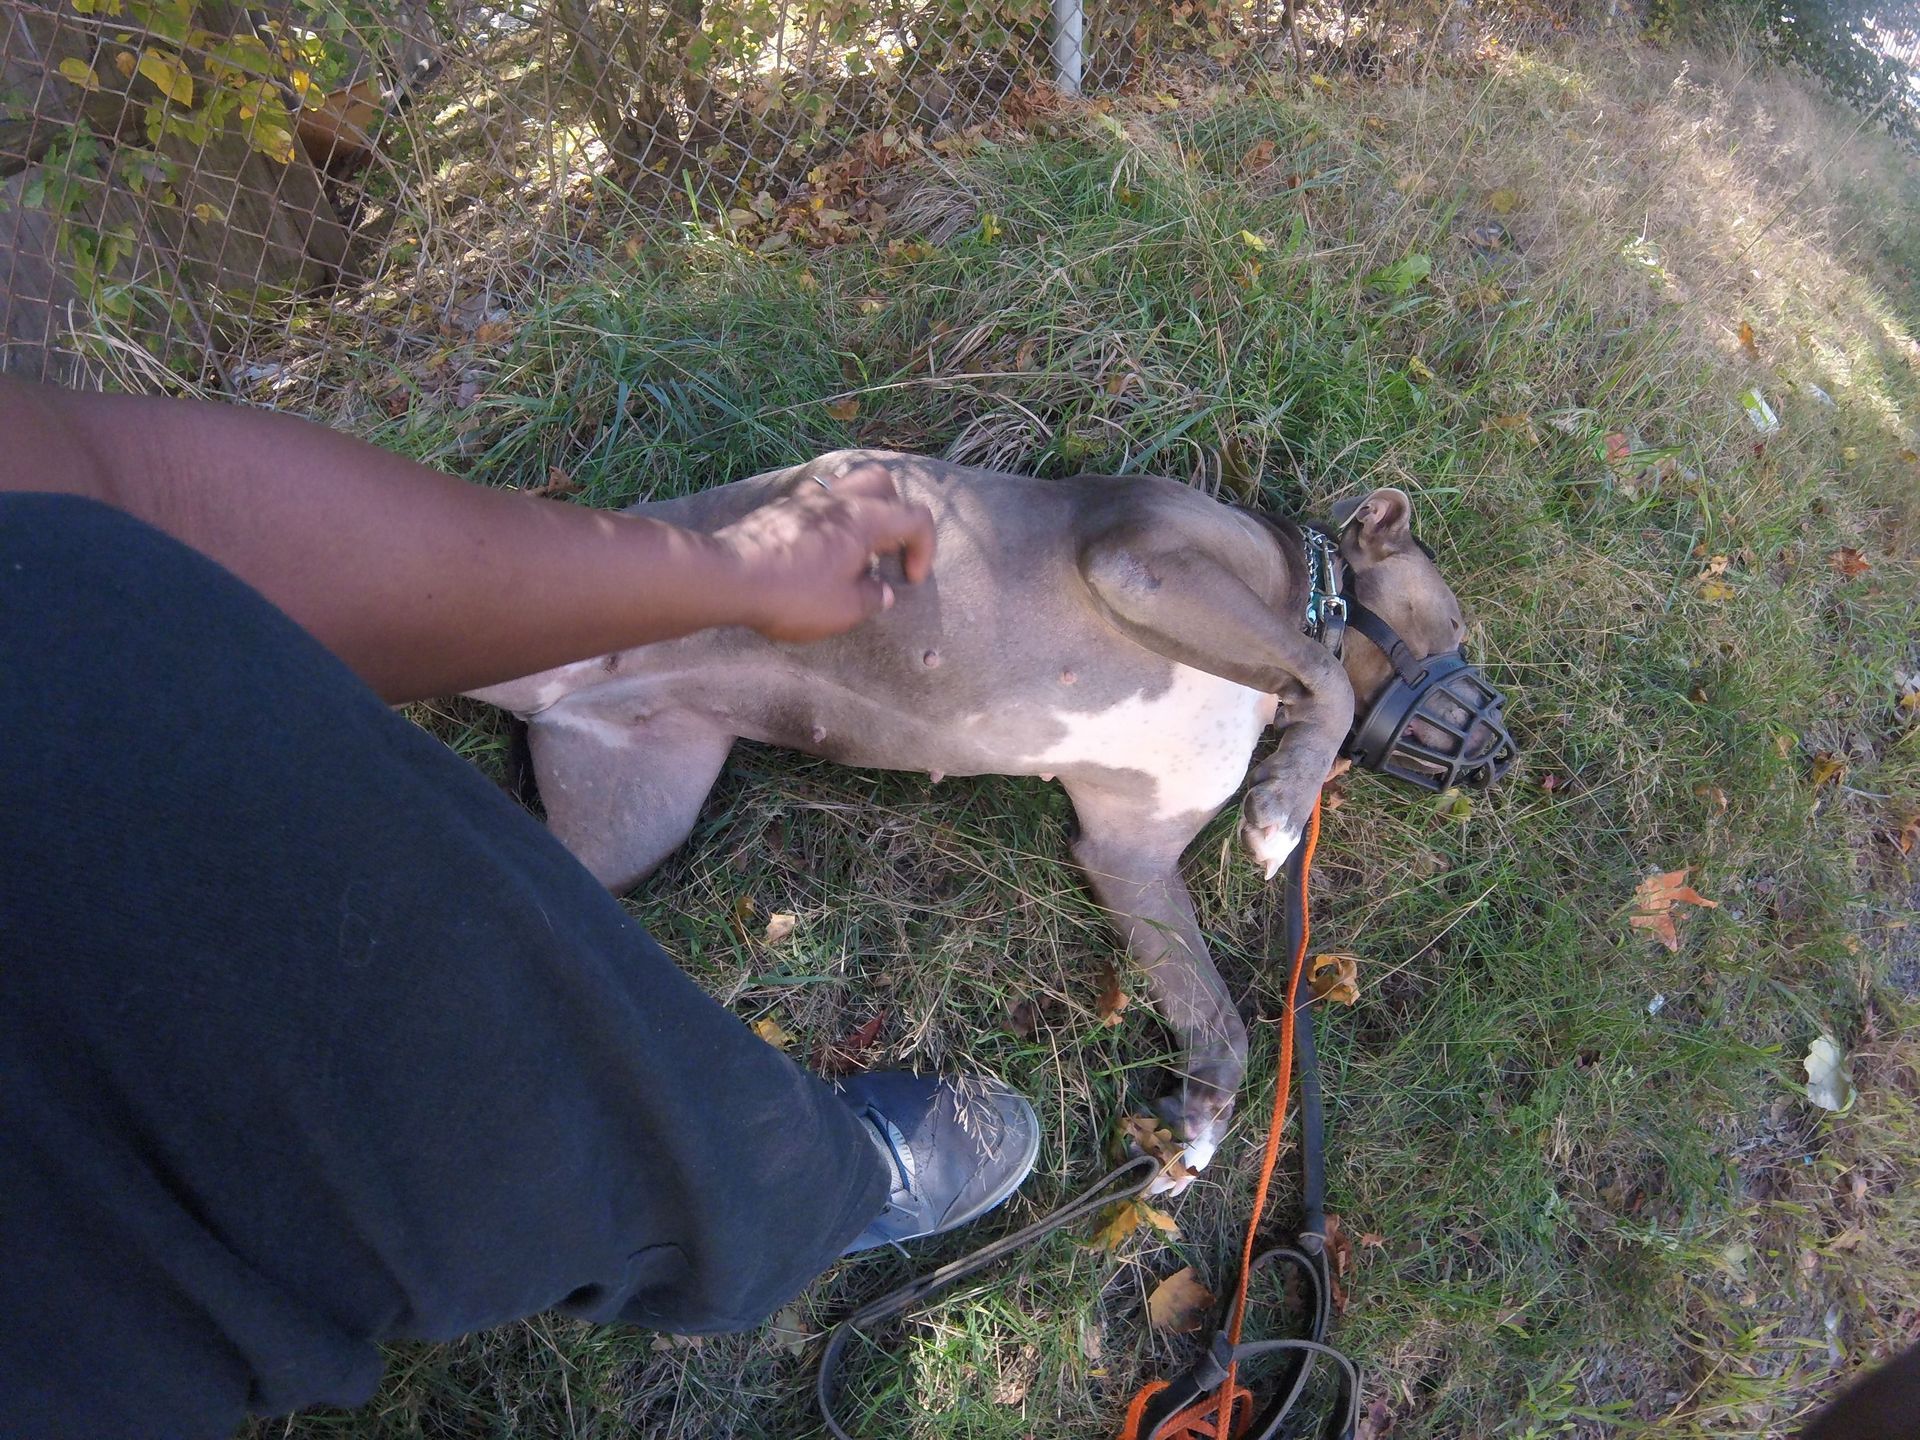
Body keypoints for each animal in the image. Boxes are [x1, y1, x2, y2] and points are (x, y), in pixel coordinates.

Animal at [468, 453, 1512, 1198]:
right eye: (1459, 623)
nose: (1501, 757)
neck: (1310, 595)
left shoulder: (1129, 853)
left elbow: (1221, 1020)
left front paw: (1200, 1129)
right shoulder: (1146, 559)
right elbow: (1326, 676)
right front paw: (1283, 810)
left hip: (628, 819)